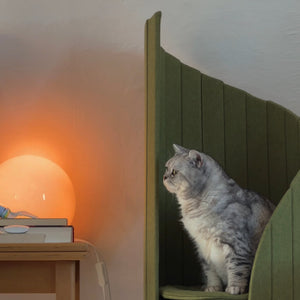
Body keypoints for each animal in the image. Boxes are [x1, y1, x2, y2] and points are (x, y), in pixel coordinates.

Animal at [163, 144, 276, 294]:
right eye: (166, 168)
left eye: (174, 172)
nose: (164, 177)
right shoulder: (202, 247)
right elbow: (210, 272)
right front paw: (213, 288)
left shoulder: (236, 244)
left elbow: (237, 268)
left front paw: (234, 288)